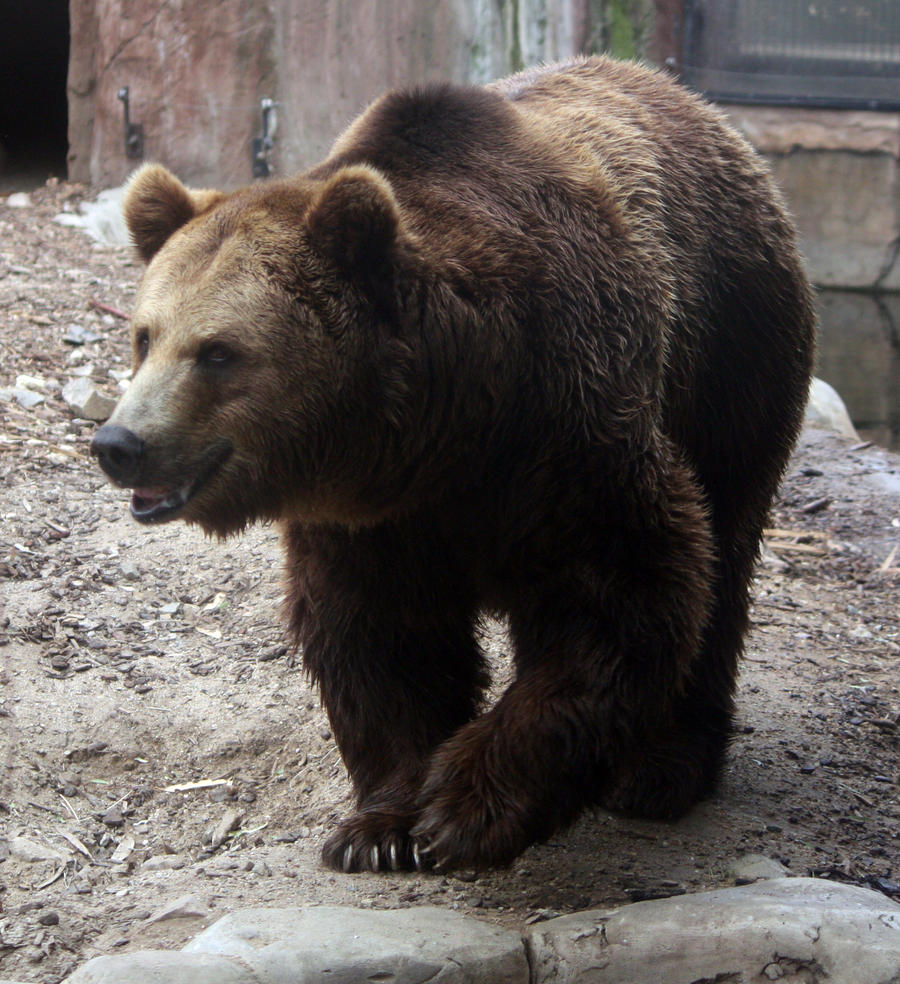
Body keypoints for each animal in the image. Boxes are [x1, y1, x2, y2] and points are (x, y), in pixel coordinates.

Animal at [91, 55, 816, 874]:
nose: (120, 444)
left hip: (733, 354)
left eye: (217, 352)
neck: (444, 428)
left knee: (723, 553)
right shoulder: (371, 517)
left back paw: (664, 770)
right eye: (144, 336)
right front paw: (381, 827)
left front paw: (466, 808)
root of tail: (698, 107)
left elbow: (623, 597)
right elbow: (382, 635)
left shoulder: (569, 437)